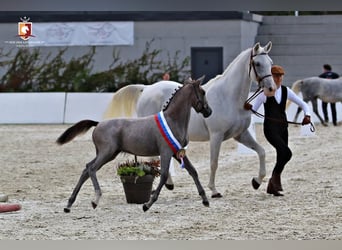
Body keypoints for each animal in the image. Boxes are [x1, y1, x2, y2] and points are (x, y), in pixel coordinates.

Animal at [103, 42, 276, 198]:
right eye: (257, 63)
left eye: (271, 63)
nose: (271, 89)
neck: (229, 97)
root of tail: (146, 89)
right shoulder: (216, 135)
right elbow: (214, 162)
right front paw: (214, 190)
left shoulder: (240, 135)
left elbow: (261, 152)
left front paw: (256, 181)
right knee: (154, 158)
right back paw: (167, 184)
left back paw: (169, 184)